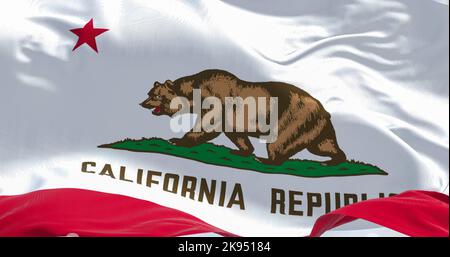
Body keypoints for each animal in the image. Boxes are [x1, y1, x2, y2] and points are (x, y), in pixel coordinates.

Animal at [139, 69, 346, 165]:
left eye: (156, 96)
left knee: (280, 141)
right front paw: (242, 150)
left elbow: (208, 125)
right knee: (323, 145)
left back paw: (266, 159)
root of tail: (323, 109)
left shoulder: (215, 99)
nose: (142, 103)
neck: (193, 93)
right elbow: (235, 134)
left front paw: (176, 140)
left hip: (292, 117)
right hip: (316, 126)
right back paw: (333, 159)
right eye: (149, 93)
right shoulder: (232, 118)